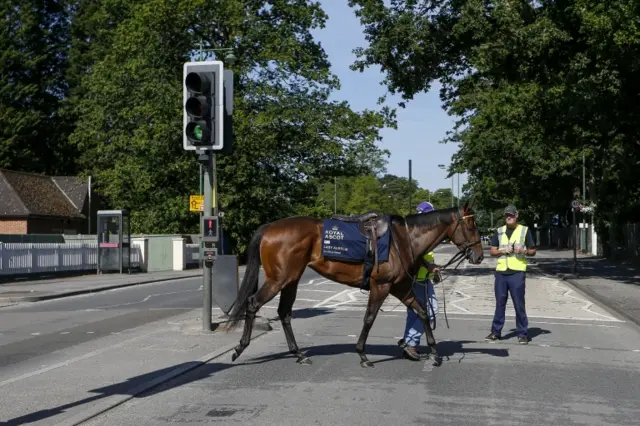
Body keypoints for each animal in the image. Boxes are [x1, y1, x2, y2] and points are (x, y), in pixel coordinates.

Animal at [228, 203, 482, 366]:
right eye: (471, 226)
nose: (479, 255)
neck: (403, 240)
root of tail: (269, 228)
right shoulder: (381, 286)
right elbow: (369, 318)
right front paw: (362, 354)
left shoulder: (400, 288)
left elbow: (422, 313)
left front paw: (434, 352)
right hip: (278, 280)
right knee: (253, 304)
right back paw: (240, 347)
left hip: (291, 280)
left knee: (285, 313)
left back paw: (298, 354)